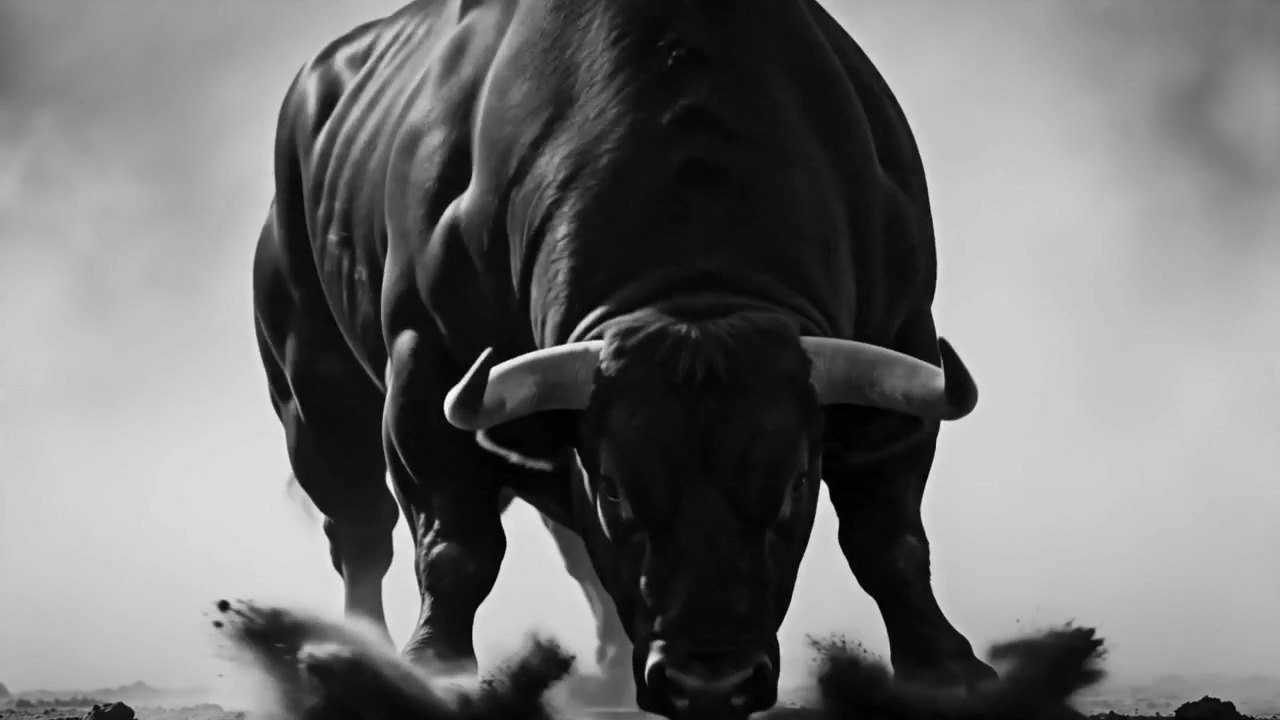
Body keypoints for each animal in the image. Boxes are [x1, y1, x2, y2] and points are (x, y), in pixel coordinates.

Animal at [251, 1, 997, 717]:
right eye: (613, 487)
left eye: (794, 483)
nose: (710, 684)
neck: (692, 278)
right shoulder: (424, 374)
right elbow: (456, 546)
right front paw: (434, 669)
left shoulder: (905, 340)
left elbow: (889, 539)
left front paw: (946, 668)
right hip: (311, 392)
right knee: (359, 529)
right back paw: (352, 655)